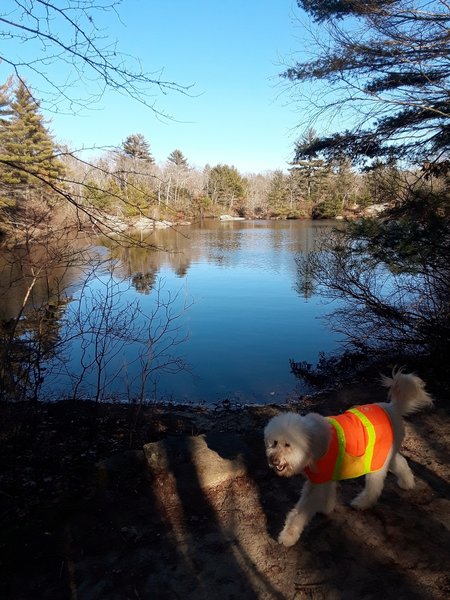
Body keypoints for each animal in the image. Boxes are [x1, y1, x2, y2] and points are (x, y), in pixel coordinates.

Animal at [264, 368, 432, 548]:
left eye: (288, 445)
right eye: (274, 443)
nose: (274, 460)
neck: (312, 443)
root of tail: (393, 408)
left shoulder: (318, 482)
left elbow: (299, 513)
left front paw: (288, 536)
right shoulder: (325, 477)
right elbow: (328, 493)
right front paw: (326, 507)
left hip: (375, 461)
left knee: (375, 485)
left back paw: (362, 502)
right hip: (385, 455)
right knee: (400, 462)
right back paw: (407, 483)